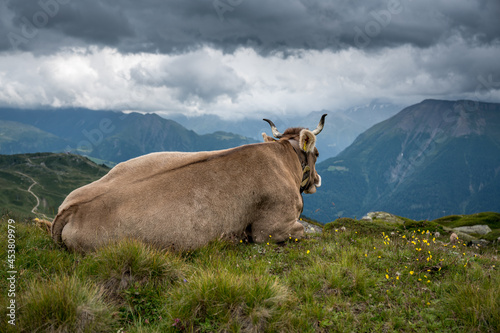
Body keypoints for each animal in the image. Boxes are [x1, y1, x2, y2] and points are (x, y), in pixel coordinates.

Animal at [50, 115, 326, 252]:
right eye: (317, 153)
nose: (317, 180)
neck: (285, 159)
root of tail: (70, 209)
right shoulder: (270, 229)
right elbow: (306, 231)